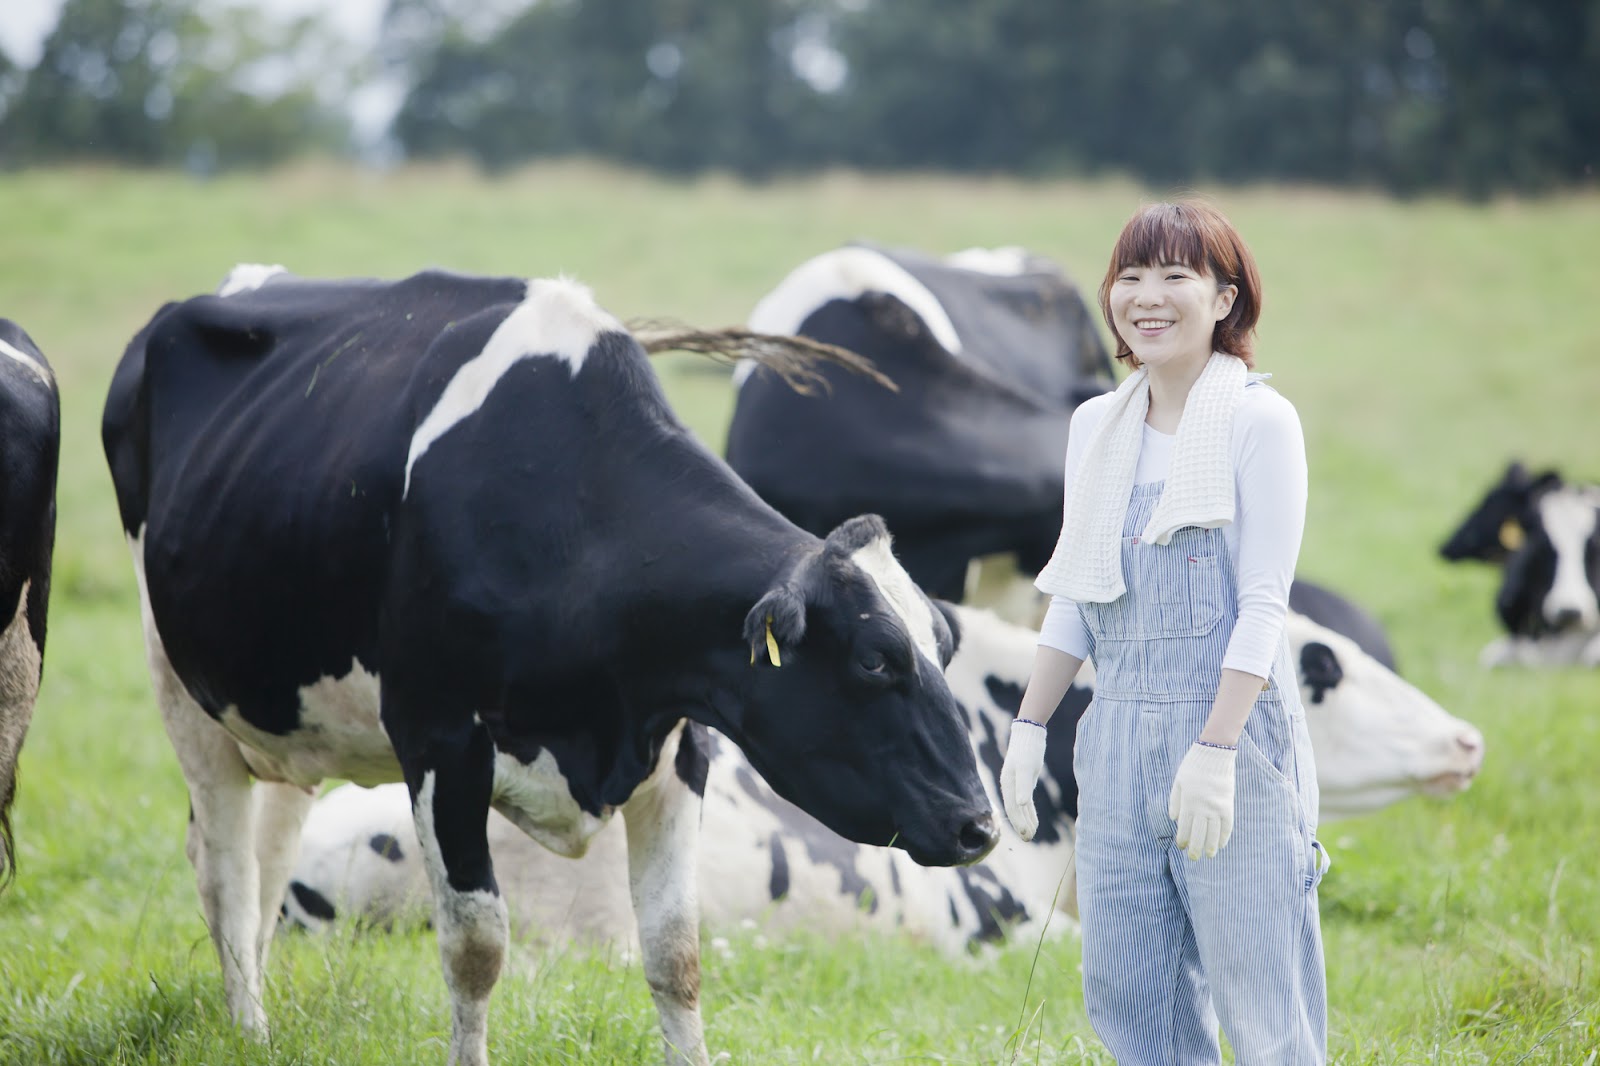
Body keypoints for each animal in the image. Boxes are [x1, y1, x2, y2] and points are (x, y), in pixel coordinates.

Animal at [100, 265, 992, 1062]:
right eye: (876, 660)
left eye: (943, 646)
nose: (978, 825)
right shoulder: (441, 740)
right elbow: (475, 948)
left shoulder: (679, 749)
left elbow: (676, 952)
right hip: (182, 689)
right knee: (226, 871)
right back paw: (248, 1030)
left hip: (292, 719)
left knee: (270, 858)